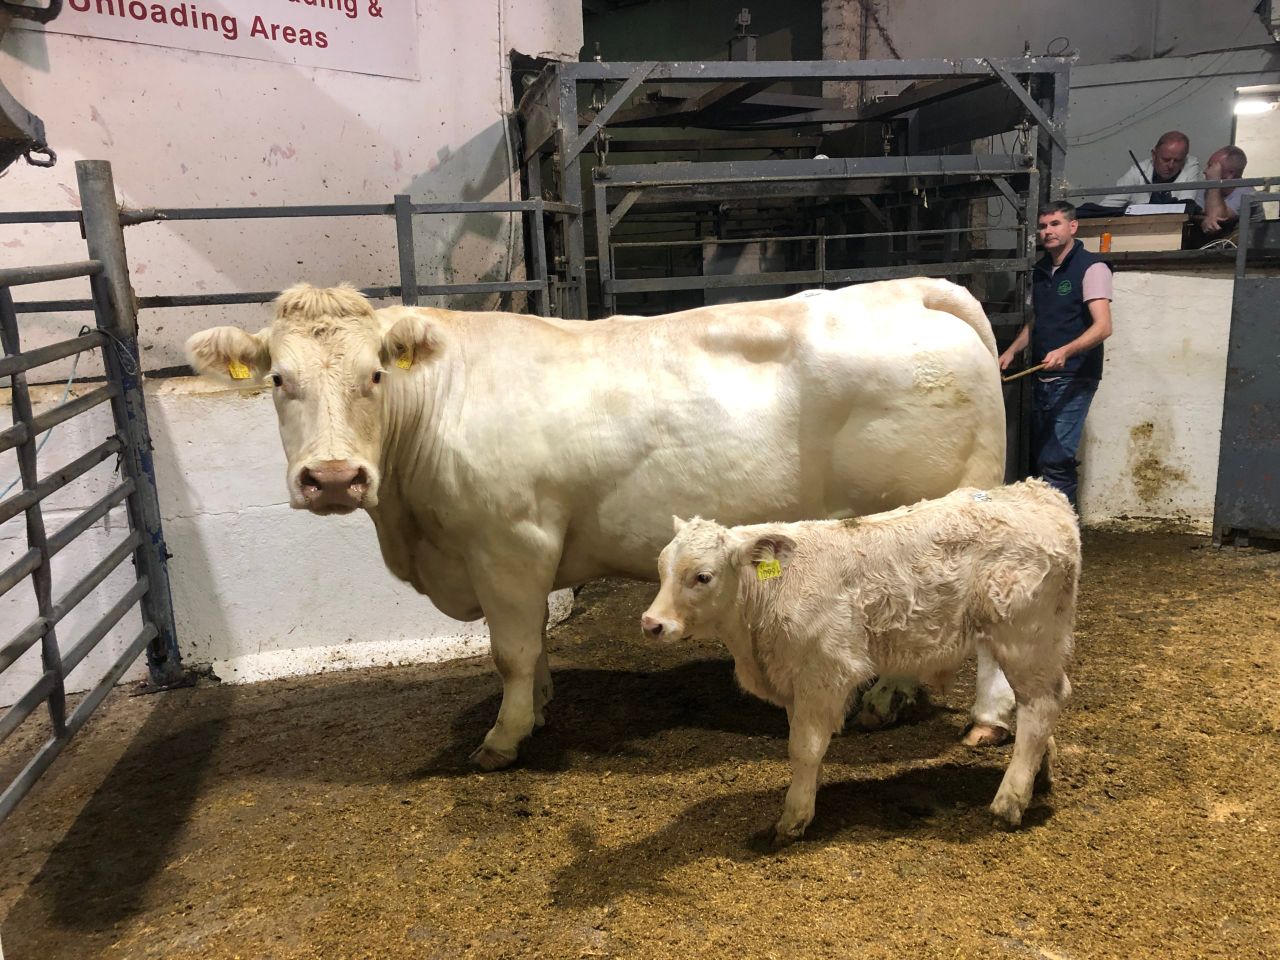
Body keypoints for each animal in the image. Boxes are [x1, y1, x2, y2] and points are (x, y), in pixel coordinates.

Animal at [185, 278, 1012, 770]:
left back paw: (963, 716)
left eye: (376, 376)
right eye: (278, 379)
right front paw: (543, 707)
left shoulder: (509, 539)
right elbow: (531, 647)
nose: (331, 477)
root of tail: (914, 289)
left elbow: (511, 650)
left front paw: (505, 737)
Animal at [639, 479, 1079, 843]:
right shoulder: (794, 680)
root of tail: (1041, 494)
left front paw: (793, 819)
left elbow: (804, 746)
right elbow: (802, 747)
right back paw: (1039, 775)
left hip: (1025, 638)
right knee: (1036, 707)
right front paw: (808, 796)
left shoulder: (825, 673)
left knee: (1041, 705)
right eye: (661, 568)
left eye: (703, 577)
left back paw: (1009, 802)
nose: (652, 623)